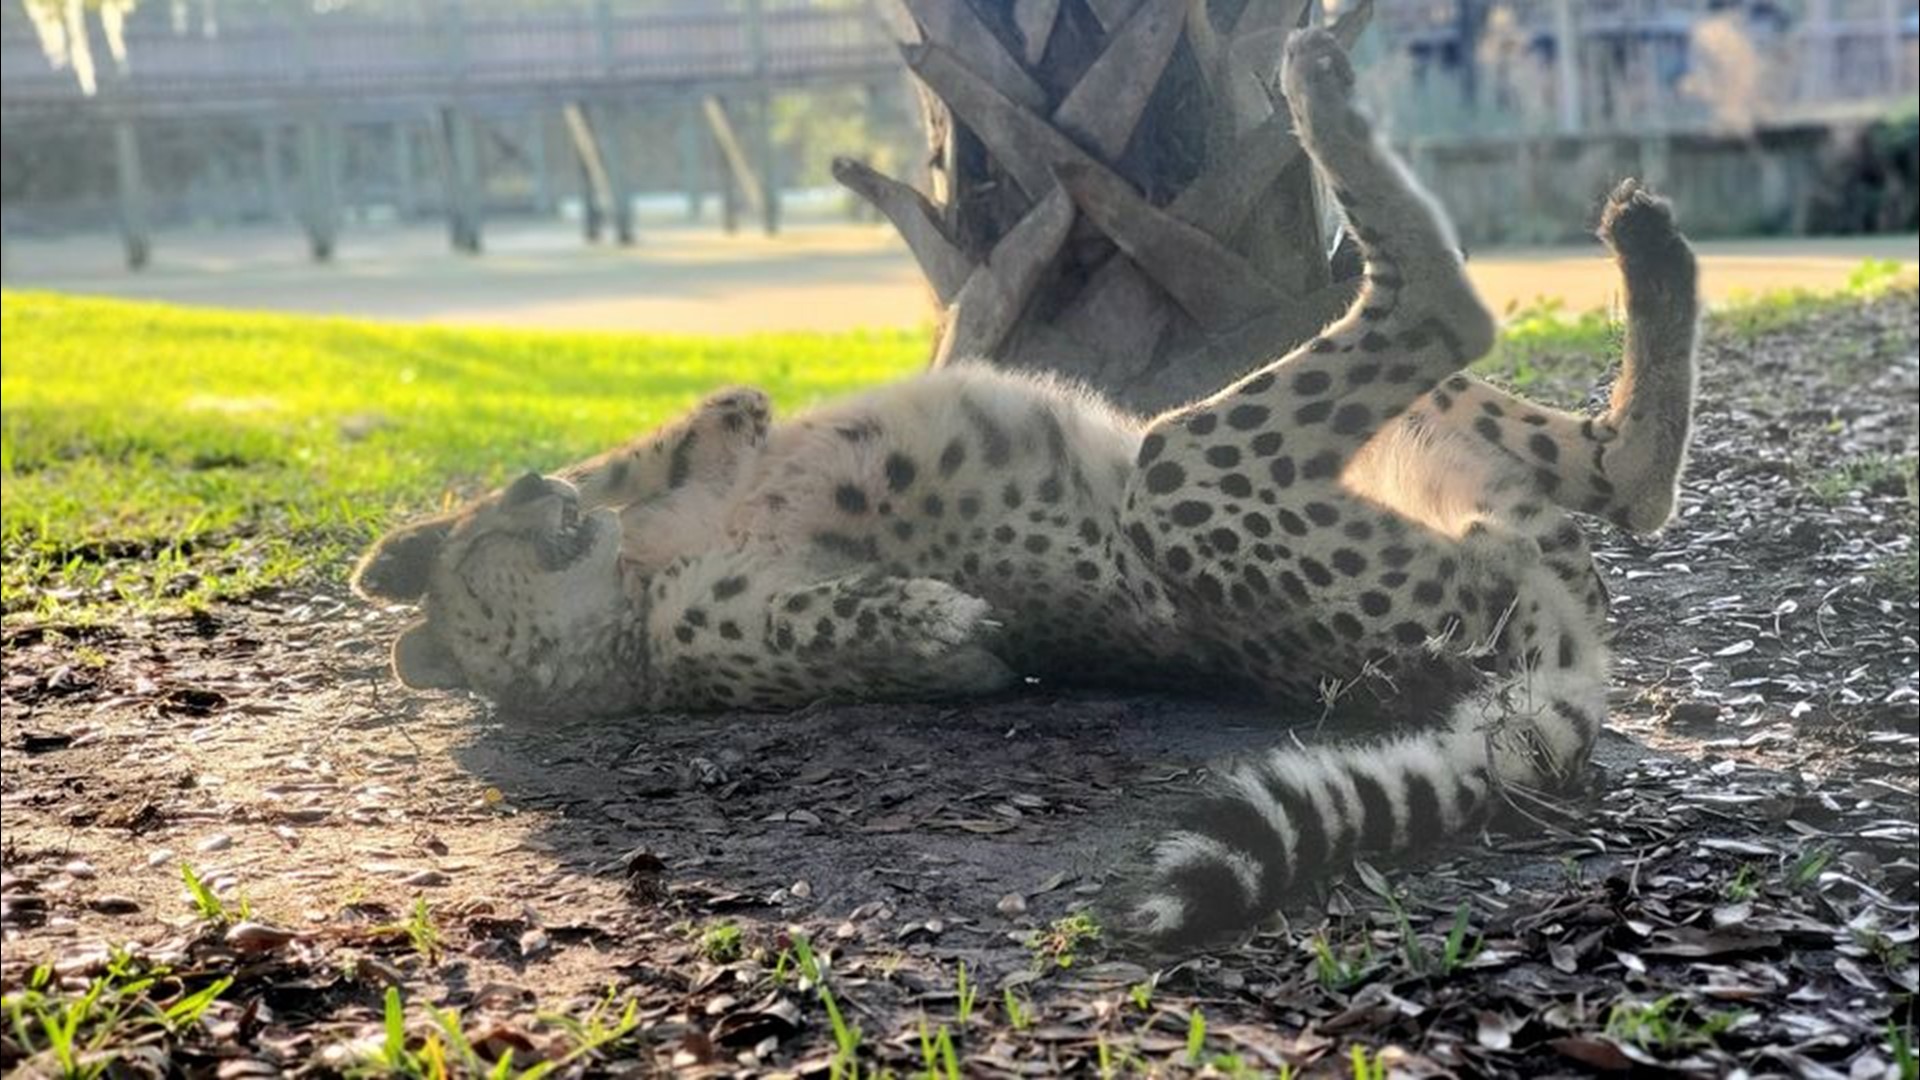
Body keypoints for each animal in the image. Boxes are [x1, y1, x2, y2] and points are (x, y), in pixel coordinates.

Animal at [353, 29, 1699, 950]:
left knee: (1614, 474)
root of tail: (1537, 676)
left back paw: (1642, 244)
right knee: (1450, 315)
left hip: (1410, 458)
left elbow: (681, 432)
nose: (533, 495)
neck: (623, 596)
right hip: (1195, 476)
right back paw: (1332, 94)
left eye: (506, 529)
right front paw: (943, 612)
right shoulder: (735, 636)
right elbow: (918, 637)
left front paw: (407, 551)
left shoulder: (718, 432)